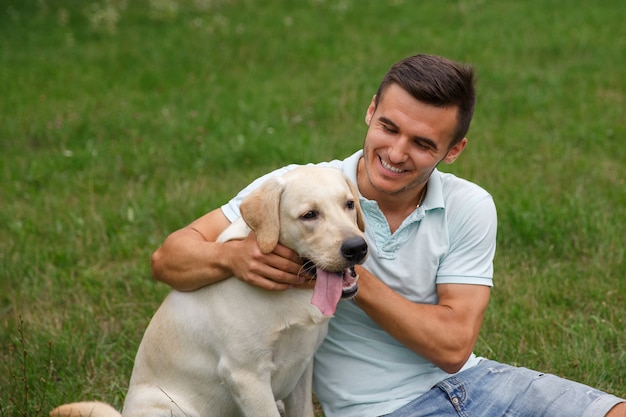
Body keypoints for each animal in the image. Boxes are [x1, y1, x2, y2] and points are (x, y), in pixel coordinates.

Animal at [53, 165, 368, 416]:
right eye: (309, 215)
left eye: (349, 204)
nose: (357, 247)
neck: (292, 293)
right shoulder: (246, 375)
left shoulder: (302, 366)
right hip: (169, 407)